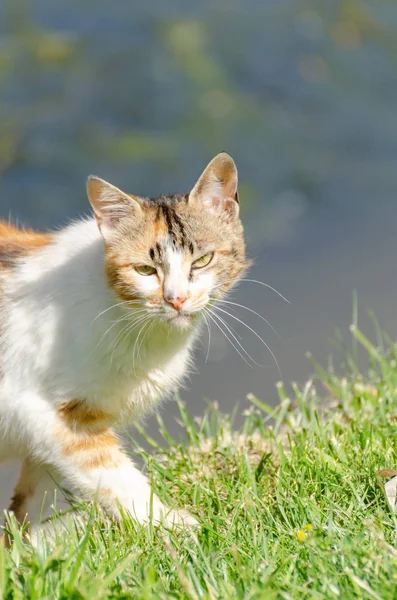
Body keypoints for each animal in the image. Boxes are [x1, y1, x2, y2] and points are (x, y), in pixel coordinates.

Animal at [0, 151, 248, 544]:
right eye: (145, 270)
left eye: (202, 260)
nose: (176, 299)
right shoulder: (44, 411)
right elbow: (113, 474)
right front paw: (169, 524)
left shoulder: (50, 432)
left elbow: (35, 499)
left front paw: (37, 549)